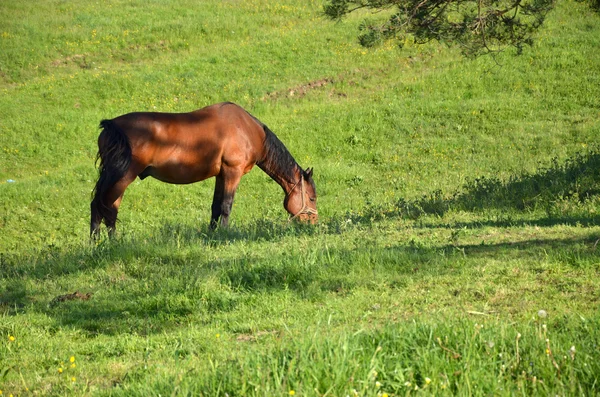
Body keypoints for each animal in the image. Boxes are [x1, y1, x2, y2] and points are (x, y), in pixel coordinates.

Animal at [90, 102, 318, 238]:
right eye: (312, 198)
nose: (313, 223)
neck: (247, 129)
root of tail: (111, 126)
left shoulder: (221, 175)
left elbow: (216, 206)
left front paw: (213, 233)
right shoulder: (232, 173)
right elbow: (226, 205)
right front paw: (225, 234)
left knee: (105, 207)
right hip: (122, 178)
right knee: (105, 207)